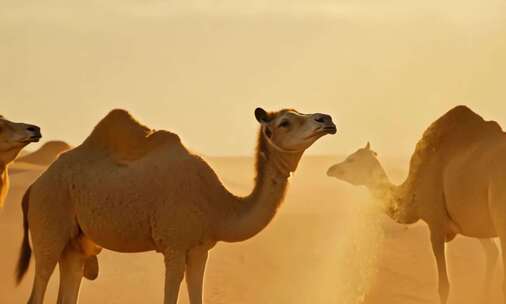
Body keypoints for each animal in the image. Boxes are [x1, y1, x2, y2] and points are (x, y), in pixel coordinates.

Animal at [326, 105, 506, 302]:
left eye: (352, 159)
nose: (331, 169)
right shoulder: (473, 222)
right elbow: (491, 253)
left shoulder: (436, 223)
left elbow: (444, 286)